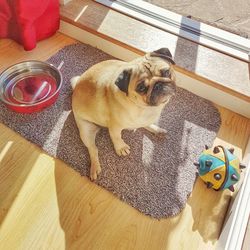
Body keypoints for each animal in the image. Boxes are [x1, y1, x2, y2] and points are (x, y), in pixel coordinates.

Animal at [70, 47, 176, 180]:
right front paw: (121, 148)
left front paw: (154, 128)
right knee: (93, 149)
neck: (144, 108)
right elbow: (116, 137)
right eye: (141, 88)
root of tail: (76, 85)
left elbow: (146, 124)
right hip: (85, 130)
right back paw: (95, 167)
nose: (158, 85)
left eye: (166, 72)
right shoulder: (115, 127)